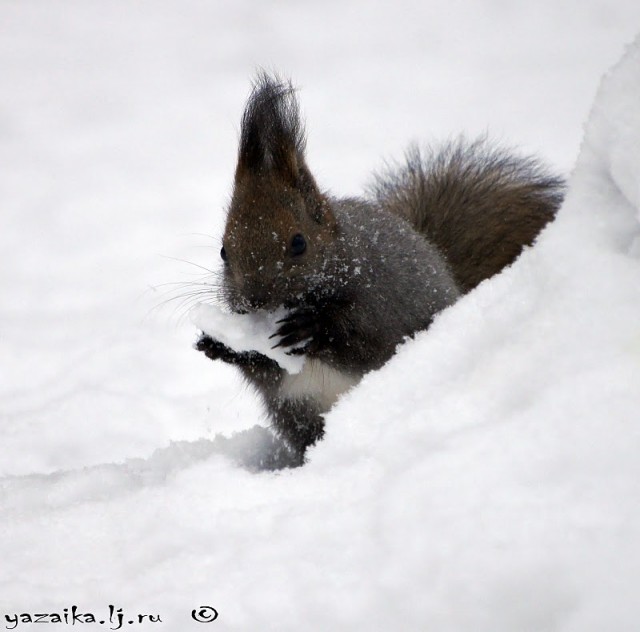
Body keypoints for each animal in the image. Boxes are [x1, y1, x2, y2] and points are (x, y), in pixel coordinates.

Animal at [196, 73, 564, 464]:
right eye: (223, 251)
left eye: (299, 243)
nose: (255, 301)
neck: (343, 264)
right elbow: (266, 373)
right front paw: (218, 344)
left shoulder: (385, 304)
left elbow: (362, 341)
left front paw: (309, 326)